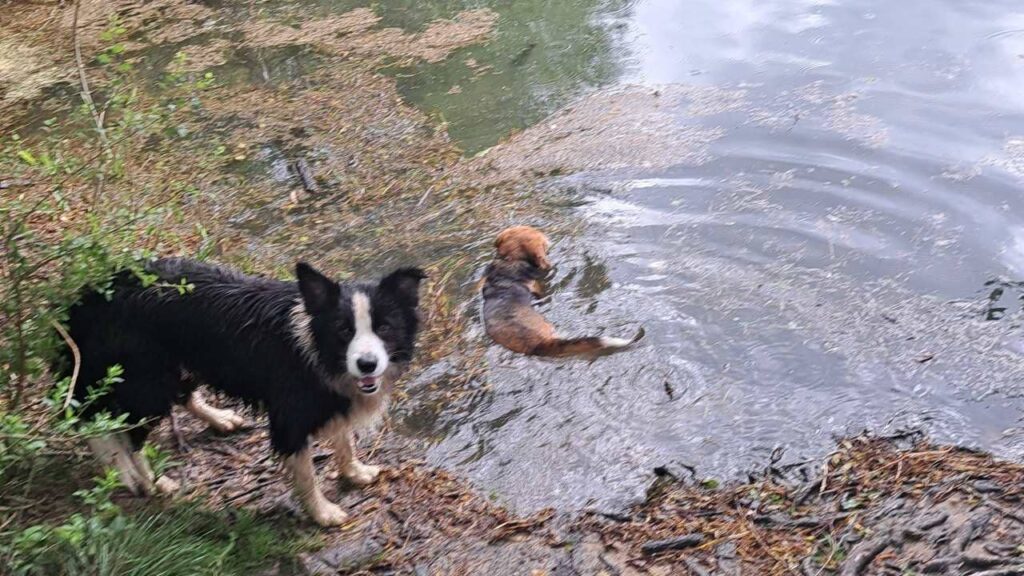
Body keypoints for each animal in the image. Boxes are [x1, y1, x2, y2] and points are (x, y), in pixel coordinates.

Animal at [59, 258, 423, 522]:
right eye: (344, 330)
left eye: (384, 327)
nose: (367, 364)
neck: (319, 349)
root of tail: (87, 301)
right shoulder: (289, 418)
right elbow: (307, 477)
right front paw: (323, 514)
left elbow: (344, 441)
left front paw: (355, 472)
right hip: (147, 382)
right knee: (126, 434)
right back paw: (154, 482)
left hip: (179, 364)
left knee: (178, 397)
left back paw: (219, 419)